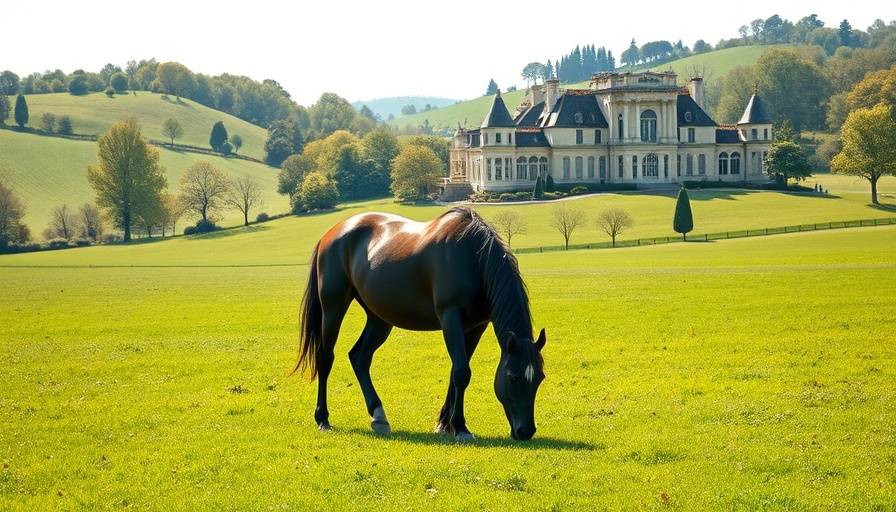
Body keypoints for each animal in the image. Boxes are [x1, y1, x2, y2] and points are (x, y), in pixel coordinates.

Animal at [294, 205, 544, 440]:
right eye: (512, 377)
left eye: (540, 377)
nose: (525, 431)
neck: (473, 257)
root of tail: (331, 234)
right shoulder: (451, 318)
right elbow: (462, 372)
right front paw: (460, 427)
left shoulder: (476, 327)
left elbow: (455, 373)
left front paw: (445, 424)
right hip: (333, 308)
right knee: (325, 358)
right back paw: (323, 418)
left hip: (379, 318)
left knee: (359, 358)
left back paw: (379, 415)